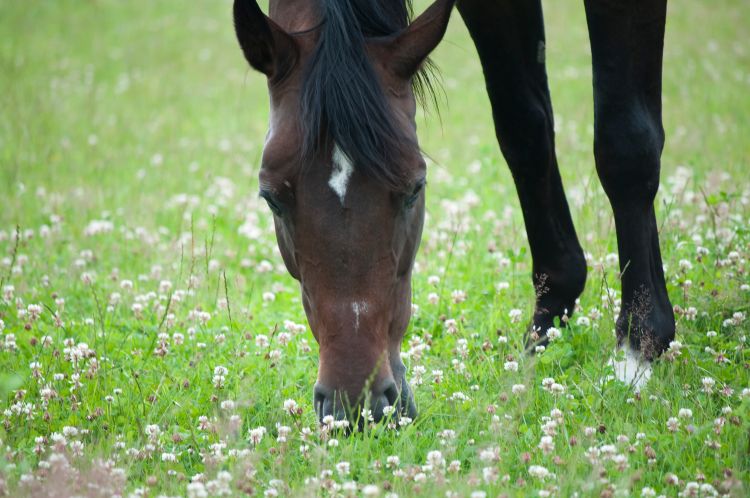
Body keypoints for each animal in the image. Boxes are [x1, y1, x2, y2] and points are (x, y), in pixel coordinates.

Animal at [235, 0, 676, 424]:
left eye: (415, 188)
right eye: (271, 198)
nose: (357, 409)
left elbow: (626, 143)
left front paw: (637, 348)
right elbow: (525, 131)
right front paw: (547, 323)